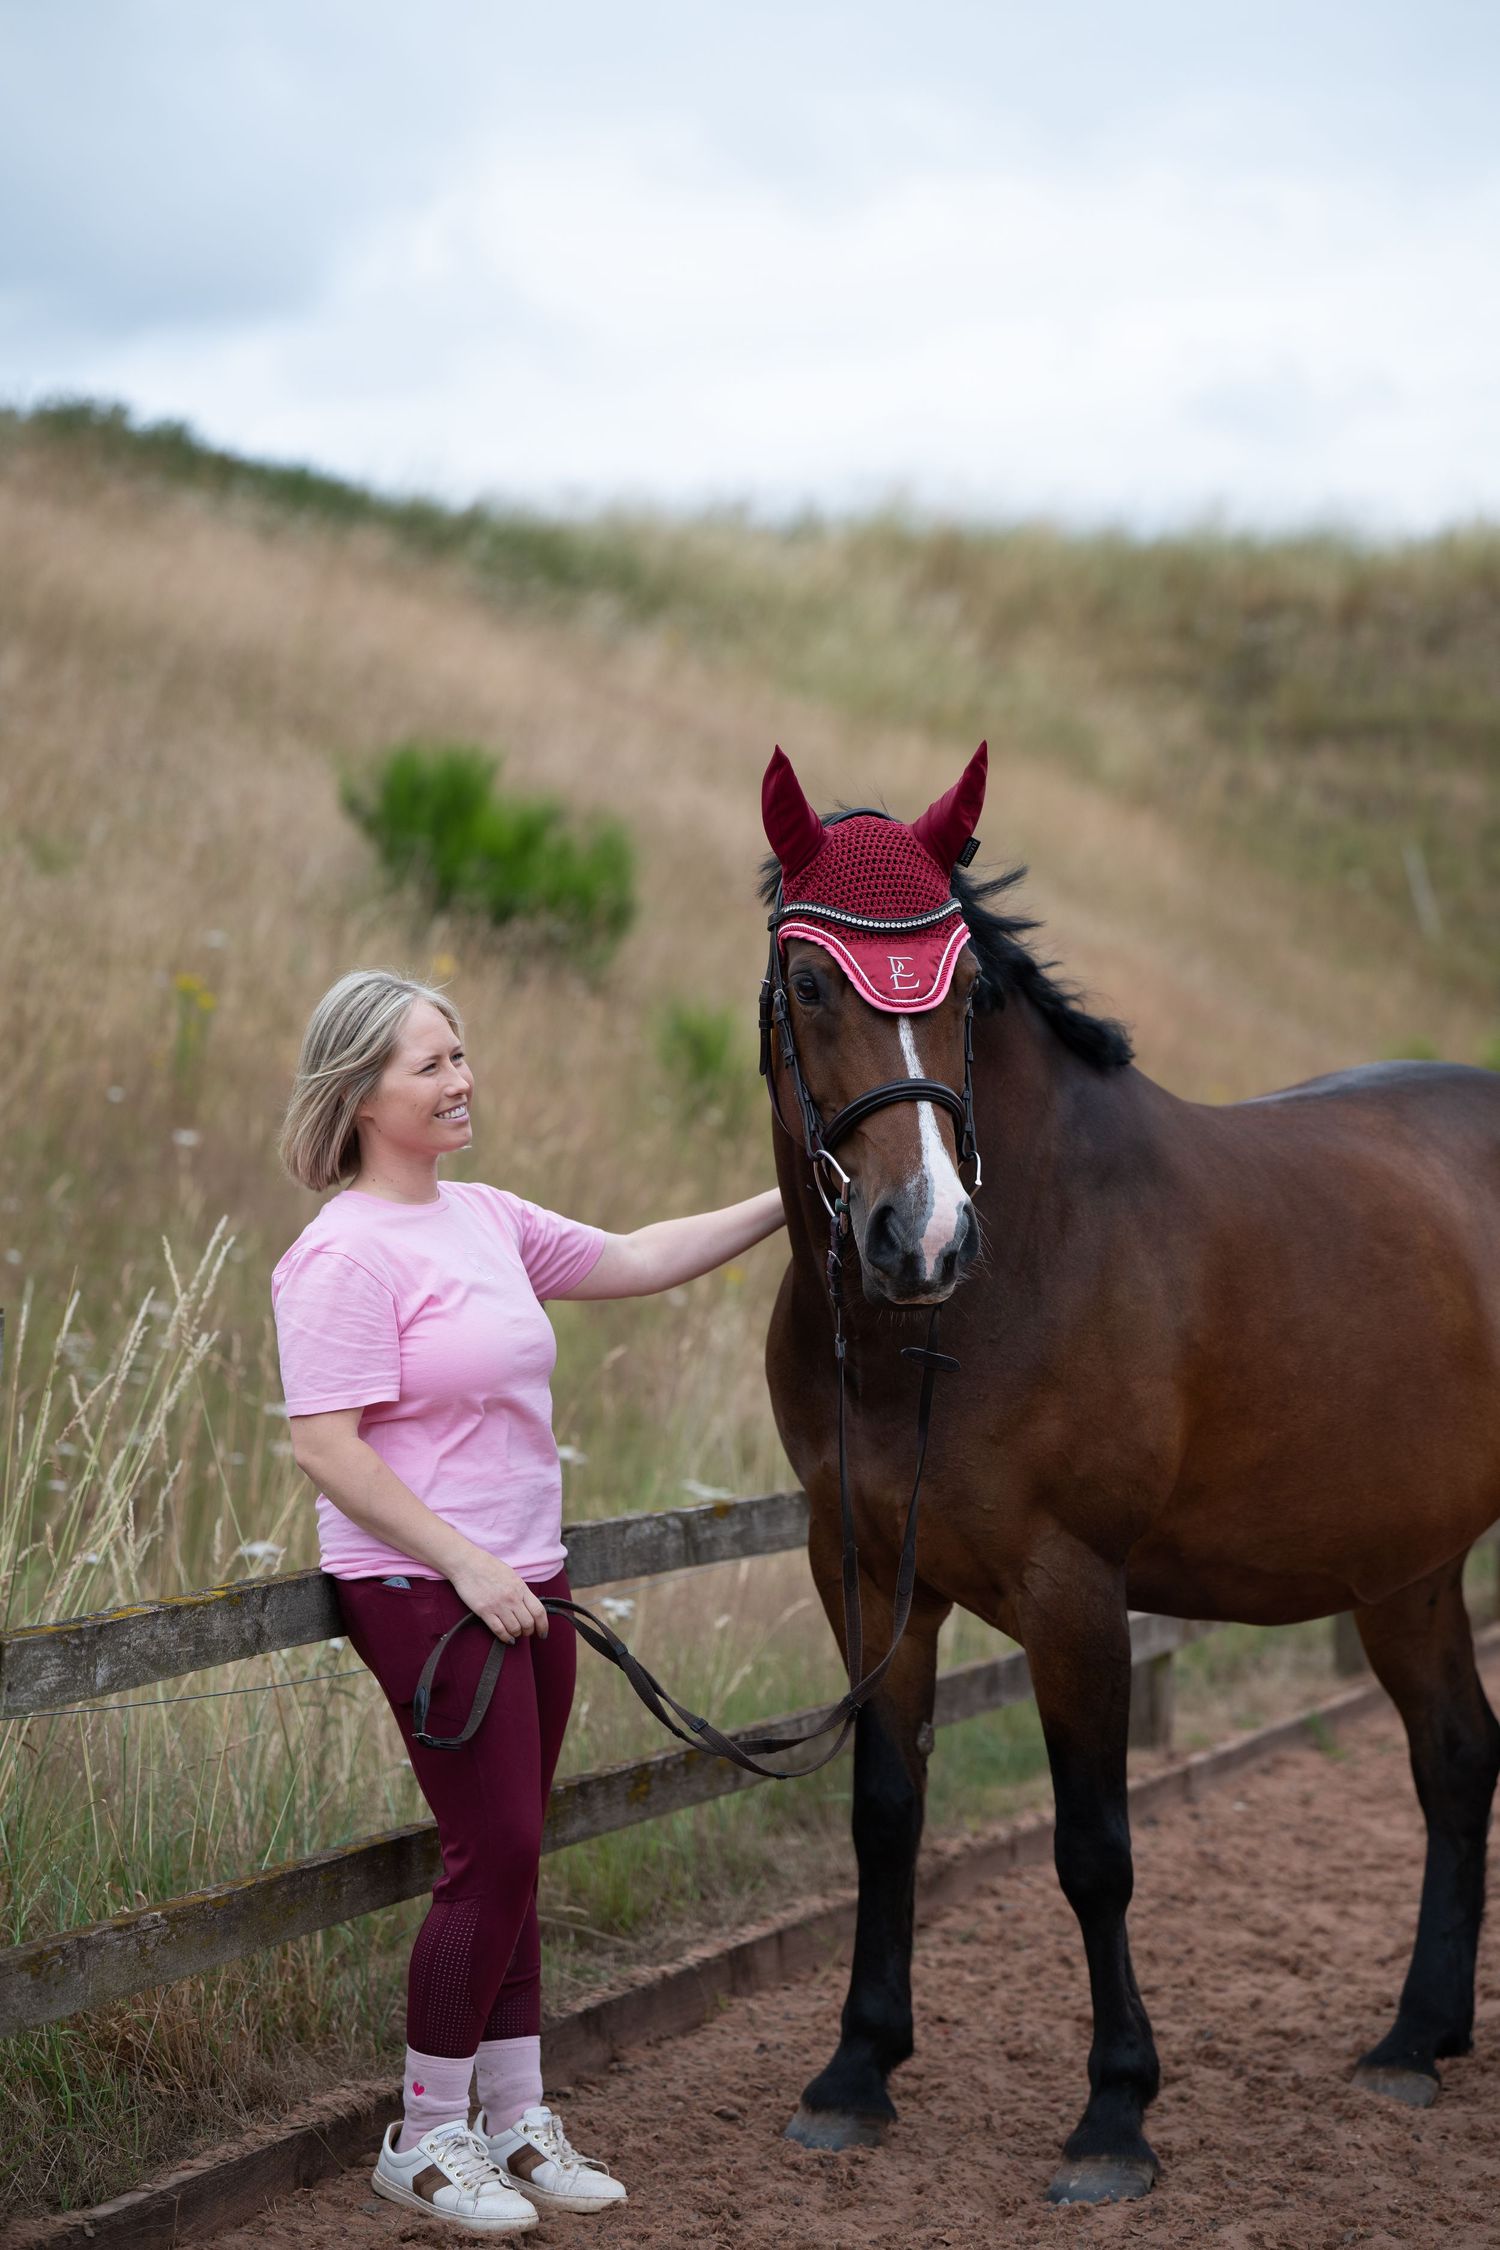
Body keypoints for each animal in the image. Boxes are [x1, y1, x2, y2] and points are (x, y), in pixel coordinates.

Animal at [758, 741, 1500, 2204]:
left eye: (965, 991)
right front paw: (856, 2071)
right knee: (1457, 1760)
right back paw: (1414, 2042)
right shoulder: (862, 1571)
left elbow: (1095, 1850)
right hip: (1408, 1569)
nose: (922, 1238)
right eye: (811, 983)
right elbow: (886, 1811)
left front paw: (1115, 2113)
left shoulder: (1076, 1591)